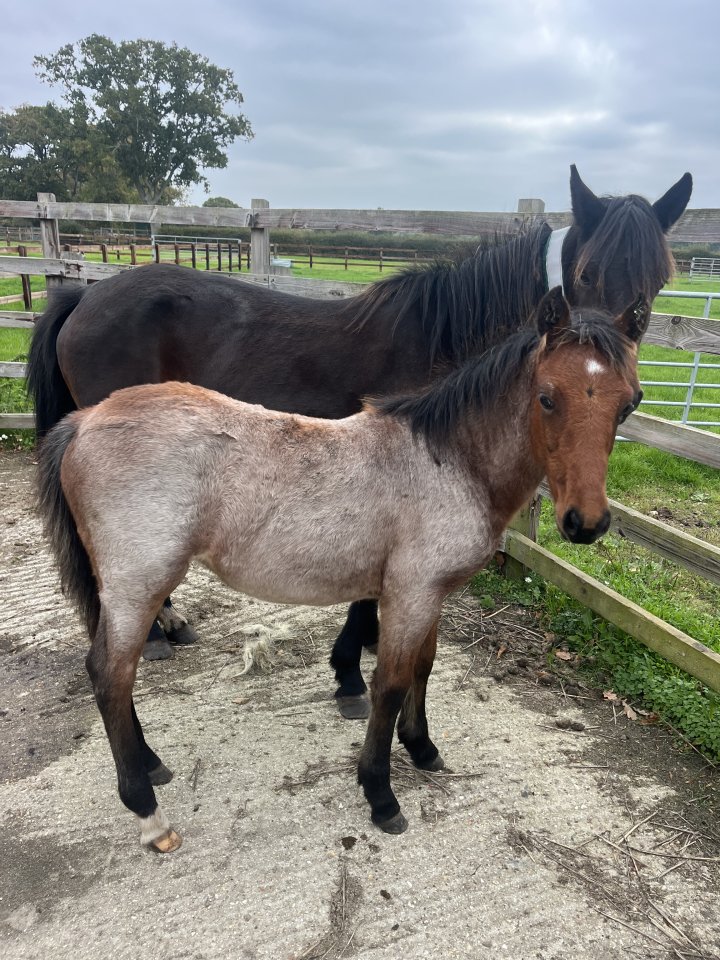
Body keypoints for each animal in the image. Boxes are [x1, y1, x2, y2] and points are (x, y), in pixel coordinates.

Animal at [27, 165, 692, 718]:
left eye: (658, 281)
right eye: (587, 273)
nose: (610, 351)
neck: (442, 340)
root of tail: (85, 295)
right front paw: (349, 673)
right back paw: (157, 633)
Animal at [36, 288, 647, 852]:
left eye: (629, 403)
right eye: (547, 398)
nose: (585, 523)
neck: (448, 462)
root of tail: (85, 420)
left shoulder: (430, 594)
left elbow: (423, 668)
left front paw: (422, 748)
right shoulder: (411, 593)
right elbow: (391, 683)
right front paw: (381, 795)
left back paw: (151, 763)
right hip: (139, 582)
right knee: (110, 676)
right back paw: (149, 812)